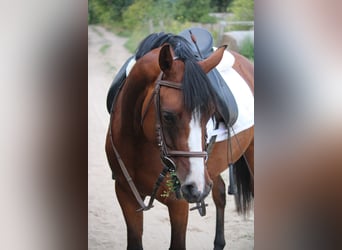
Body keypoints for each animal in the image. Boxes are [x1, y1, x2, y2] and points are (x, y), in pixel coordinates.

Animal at [105, 32, 254, 249]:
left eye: (210, 114)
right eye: (167, 116)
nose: (195, 186)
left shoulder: (179, 204)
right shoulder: (125, 194)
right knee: (219, 193)